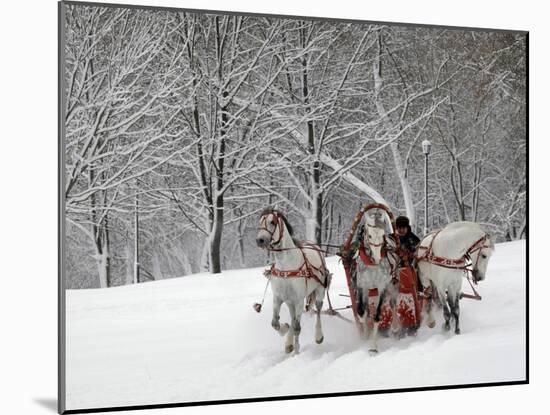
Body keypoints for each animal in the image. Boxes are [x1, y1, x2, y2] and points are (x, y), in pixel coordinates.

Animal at [256, 208, 330, 354]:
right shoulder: (279, 298)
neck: (286, 266)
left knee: (318, 310)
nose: (260, 240)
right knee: (293, 317)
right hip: (290, 302)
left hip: (319, 291)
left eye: (272, 222)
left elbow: (297, 328)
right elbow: (275, 323)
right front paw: (285, 330)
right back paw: (289, 342)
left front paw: (297, 352)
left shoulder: (299, 300)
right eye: (260, 221)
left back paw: (318, 336)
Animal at [356, 211, 398, 352]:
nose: (377, 258)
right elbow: (362, 312)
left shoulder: (382, 287)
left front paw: (373, 347)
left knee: (393, 304)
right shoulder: (362, 286)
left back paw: (395, 328)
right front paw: (365, 336)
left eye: (382, 235)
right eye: (369, 235)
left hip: (393, 285)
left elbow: (377, 316)